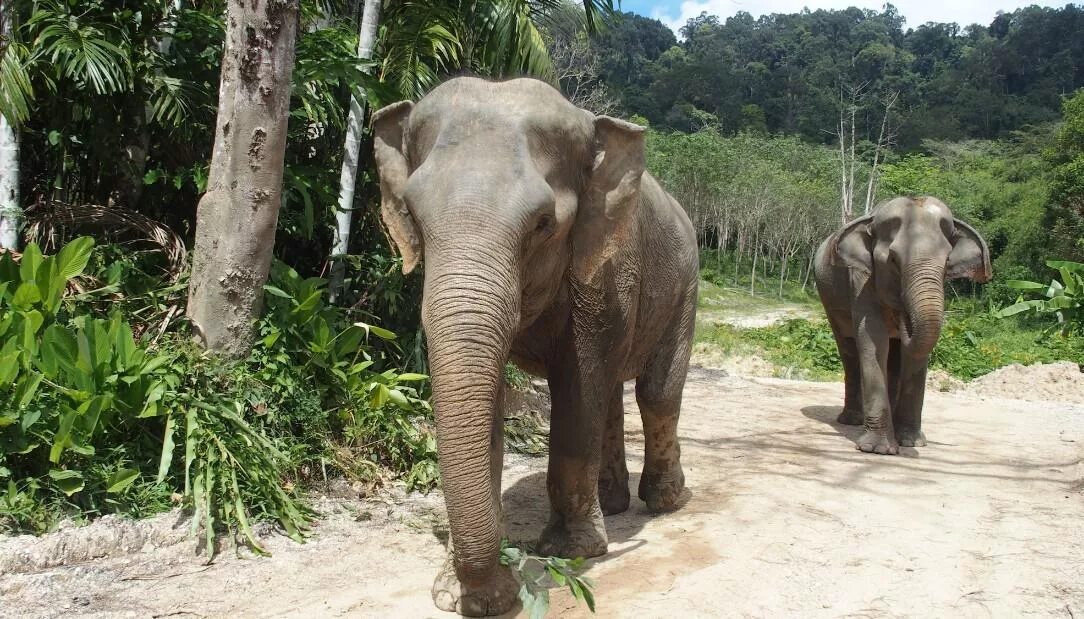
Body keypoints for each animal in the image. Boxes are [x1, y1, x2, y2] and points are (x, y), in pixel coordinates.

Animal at [370, 76, 693, 615]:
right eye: (412, 214)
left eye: (544, 223)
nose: (496, 588)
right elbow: (493, 401)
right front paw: (466, 595)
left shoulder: (602, 270)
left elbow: (578, 389)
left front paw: (571, 552)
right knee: (612, 395)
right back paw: (613, 505)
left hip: (686, 287)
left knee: (656, 391)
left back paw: (666, 501)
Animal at [815, 197, 992, 455]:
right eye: (893, 260)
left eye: (947, 262)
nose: (903, 316)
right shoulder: (861, 278)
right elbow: (873, 338)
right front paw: (878, 449)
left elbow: (914, 353)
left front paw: (912, 442)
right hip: (830, 301)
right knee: (848, 347)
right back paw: (851, 421)